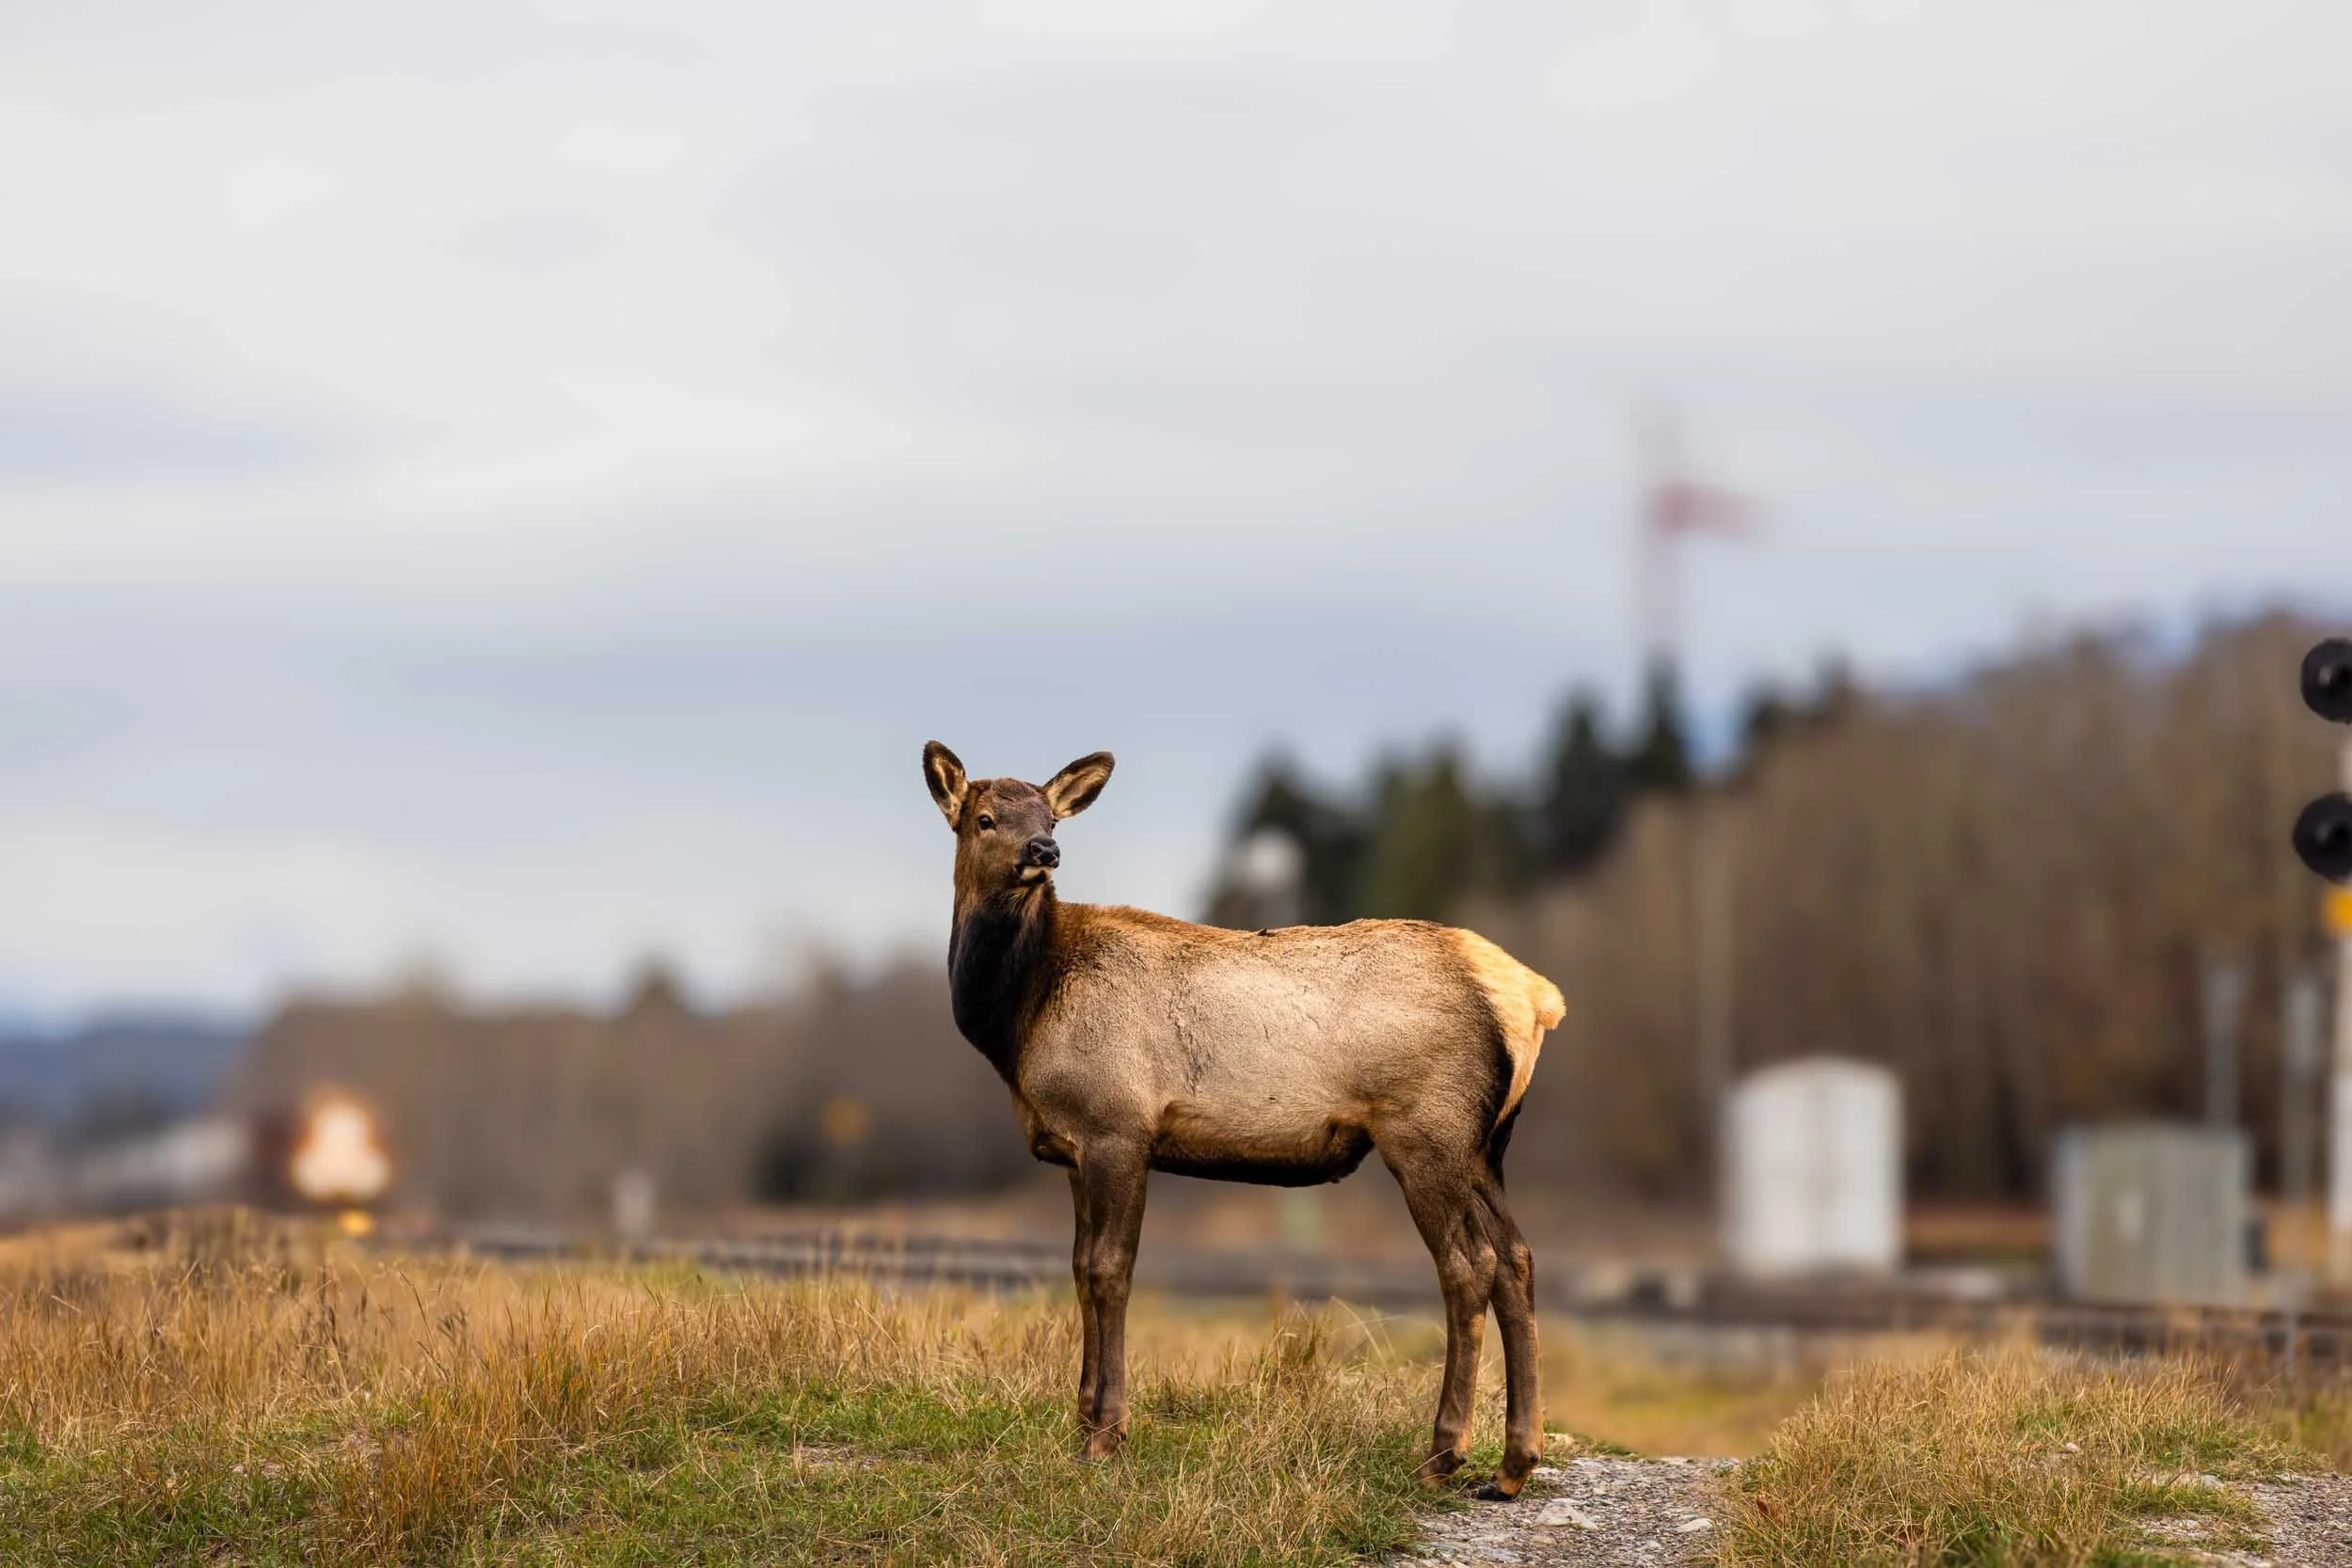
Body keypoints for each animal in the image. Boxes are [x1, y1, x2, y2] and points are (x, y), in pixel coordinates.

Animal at [922, 742, 1565, 1498]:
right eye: (985, 818)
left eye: (1050, 816)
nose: (1044, 851)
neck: (1020, 1016)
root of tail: (1534, 998)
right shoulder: (1077, 1146)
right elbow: (1078, 1267)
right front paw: (1081, 1419)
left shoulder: (1118, 1127)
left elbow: (1110, 1270)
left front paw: (1107, 1434)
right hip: (1486, 1146)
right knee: (1517, 1258)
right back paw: (1515, 1462)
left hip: (1426, 1131)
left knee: (1470, 1266)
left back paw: (1444, 1452)